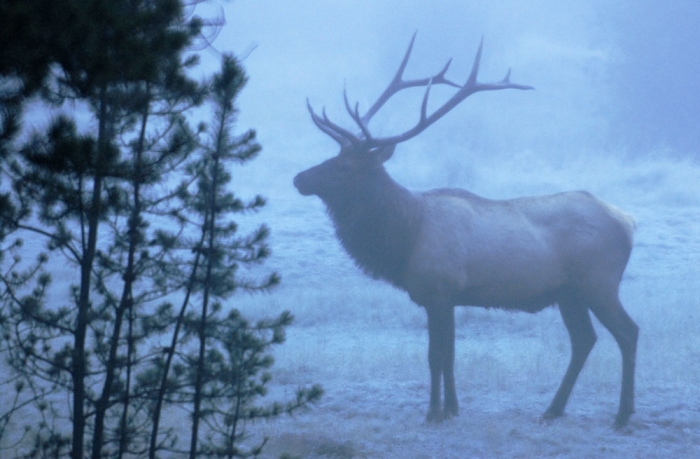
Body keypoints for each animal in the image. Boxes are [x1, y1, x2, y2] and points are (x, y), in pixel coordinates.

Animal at [296, 33, 640, 428]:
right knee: (584, 340)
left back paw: (622, 414)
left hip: (599, 283)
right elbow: (450, 355)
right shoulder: (450, 297)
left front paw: (432, 413)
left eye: (344, 166)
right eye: (332, 157)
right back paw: (552, 410)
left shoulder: (437, 290)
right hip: (569, 293)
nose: (299, 178)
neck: (404, 236)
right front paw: (453, 409)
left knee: (628, 332)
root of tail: (628, 221)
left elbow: (435, 356)